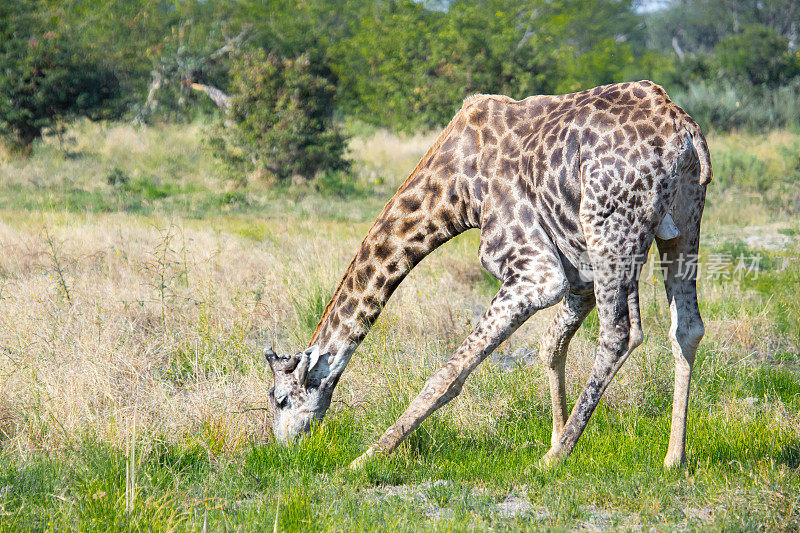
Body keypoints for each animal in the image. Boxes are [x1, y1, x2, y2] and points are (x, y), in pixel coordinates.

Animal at [266, 79, 708, 466]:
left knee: (619, 333)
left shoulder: (537, 272)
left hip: (610, 227)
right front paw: (557, 434)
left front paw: (365, 459)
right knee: (685, 326)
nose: (284, 448)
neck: (457, 189)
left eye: (280, 398)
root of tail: (685, 131)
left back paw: (553, 461)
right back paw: (673, 458)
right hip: (679, 224)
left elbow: (449, 373)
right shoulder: (578, 270)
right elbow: (551, 344)